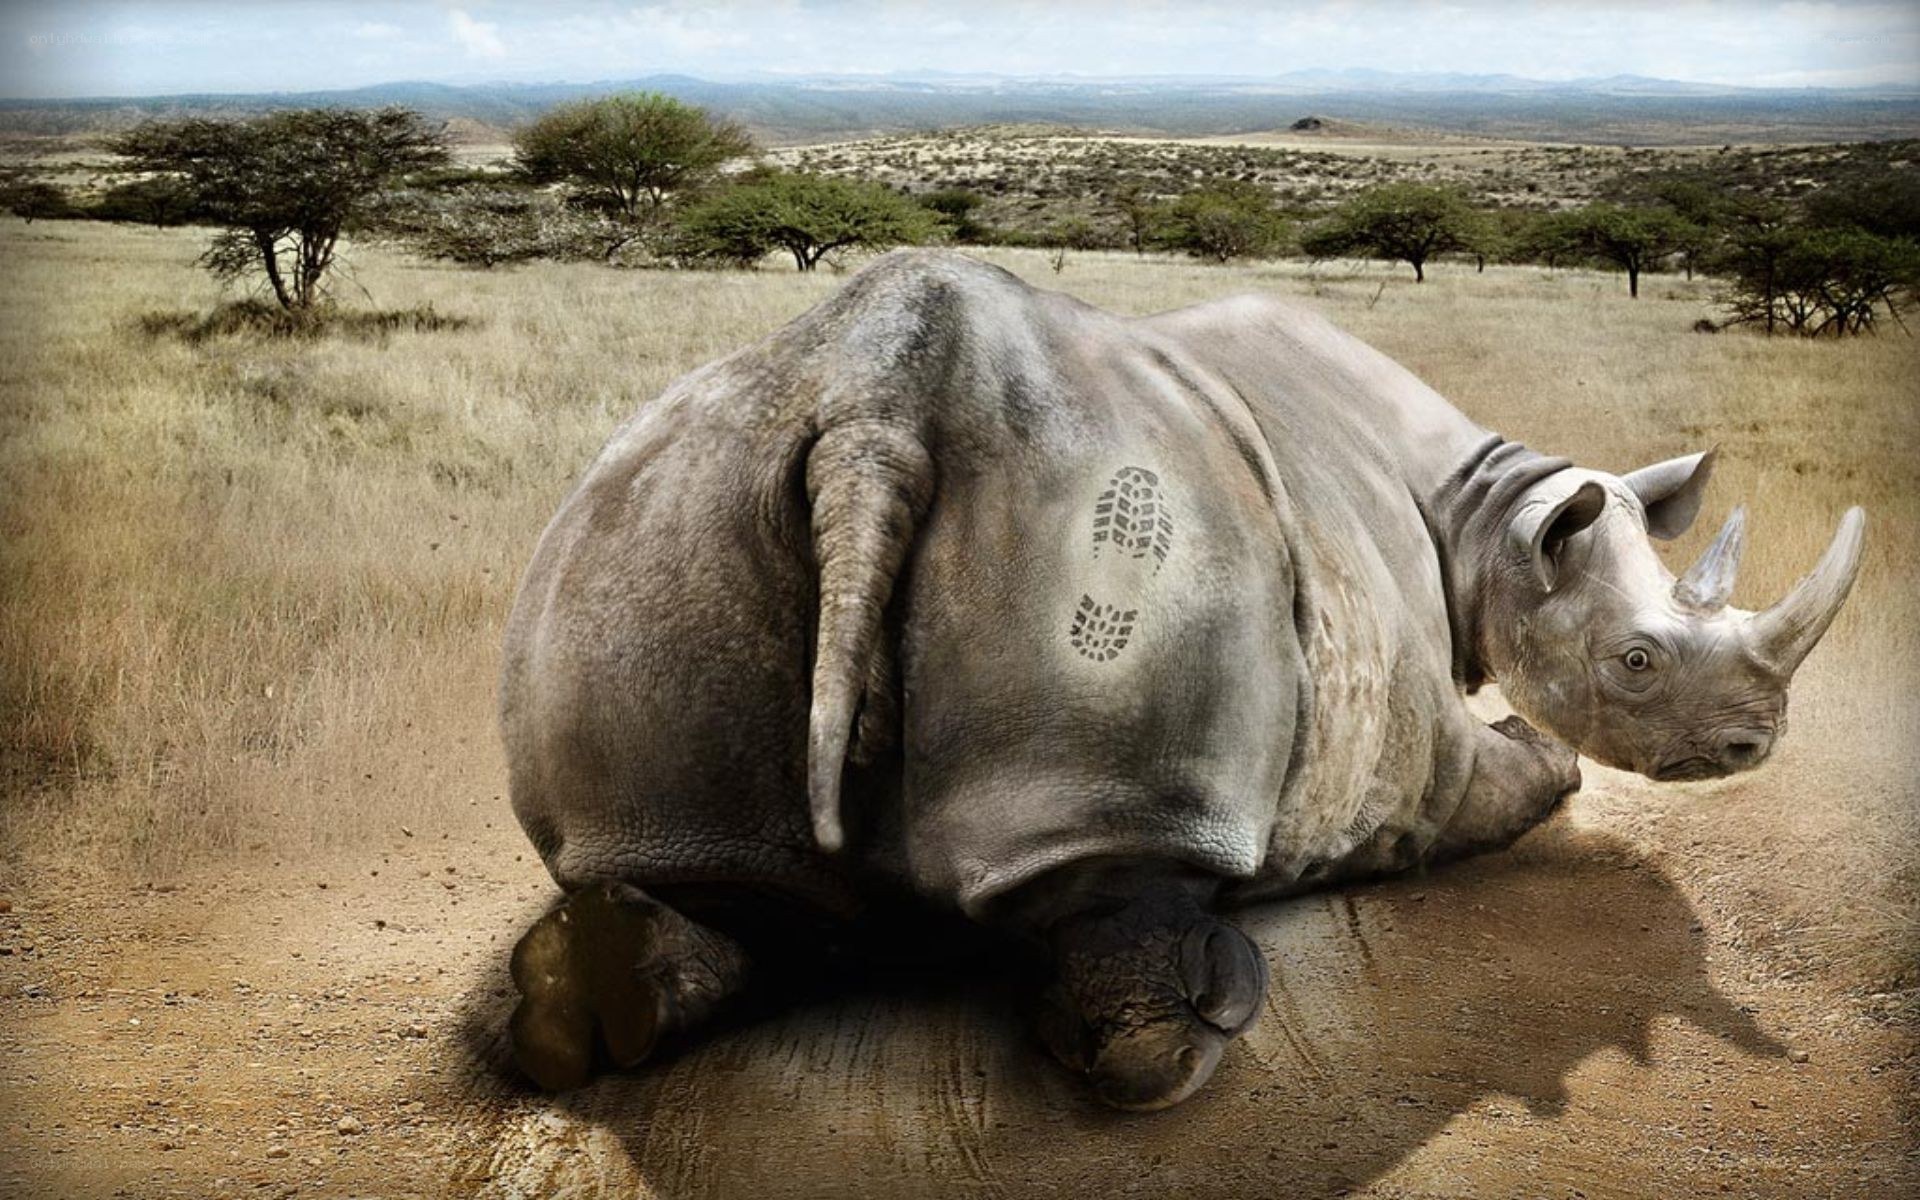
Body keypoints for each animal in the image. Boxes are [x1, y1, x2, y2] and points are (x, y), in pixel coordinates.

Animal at [501, 250, 1864, 1110]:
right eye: (1637, 663)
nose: (1753, 744)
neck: (1488, 517)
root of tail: (869, 410)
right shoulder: (1423, 761)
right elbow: (1522, 776)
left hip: (656, 524)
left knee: (708, 865)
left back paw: (591, 1007)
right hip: (1121, 538)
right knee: (1115, 850)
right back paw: (1206, 1014)